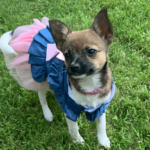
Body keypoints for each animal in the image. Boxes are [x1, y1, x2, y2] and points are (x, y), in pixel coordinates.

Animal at [0, 7, 115, 148]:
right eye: (67, 54)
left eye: (91, 51)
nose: (73, 67)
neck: (89, 83)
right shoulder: (69, 110)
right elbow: (74, 128)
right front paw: (78, 142)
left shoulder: (100, 107)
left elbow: (101, 124)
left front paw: (103, 140)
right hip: (40, 76)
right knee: (41, 96)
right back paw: (47, 113)